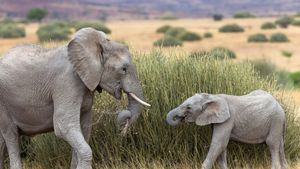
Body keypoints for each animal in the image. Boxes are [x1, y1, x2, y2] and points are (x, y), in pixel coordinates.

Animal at [0, 27, 150, 168]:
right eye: (123, 69)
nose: (123, 131)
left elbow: (84, 128)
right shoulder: (66, 82)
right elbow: (63, 125)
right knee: (11, 136)